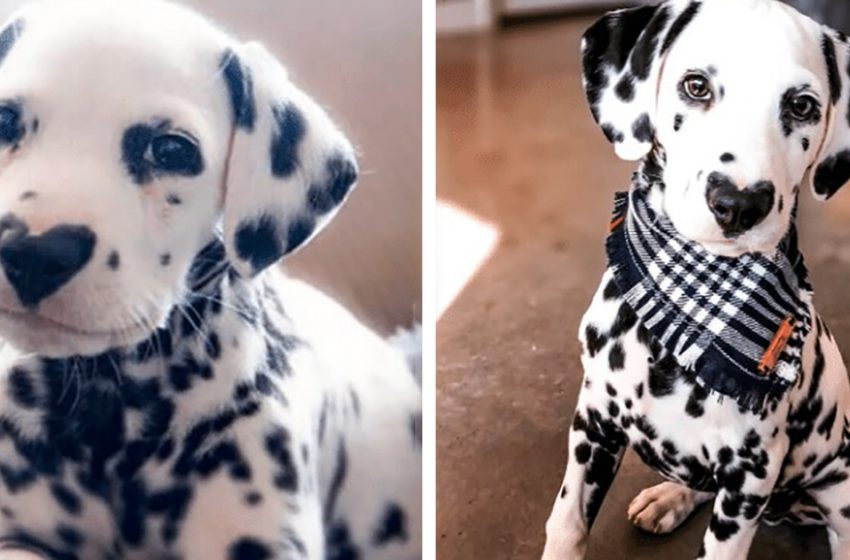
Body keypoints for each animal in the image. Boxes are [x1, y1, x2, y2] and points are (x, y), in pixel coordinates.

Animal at [540, 1, 850, 560]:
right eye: (696, 86)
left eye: (802, 106)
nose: (739, 203)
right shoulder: (593, 421)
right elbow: (567, 523)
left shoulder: (750, 475)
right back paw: (669, 497)